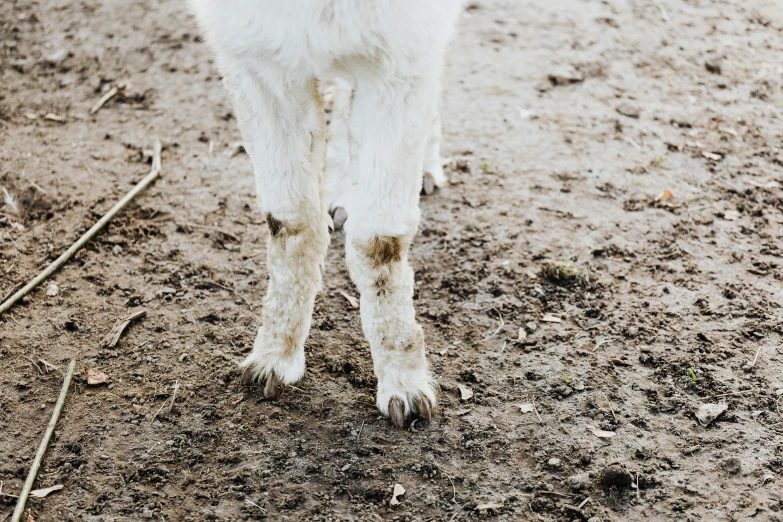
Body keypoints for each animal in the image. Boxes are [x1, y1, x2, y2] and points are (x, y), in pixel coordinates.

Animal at [188, 0, 466, 424]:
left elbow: (380, 241)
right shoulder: (258, 58)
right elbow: (290, 221)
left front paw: (404, 386)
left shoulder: (400, 55)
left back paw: (426, 167)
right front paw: (274, 358)